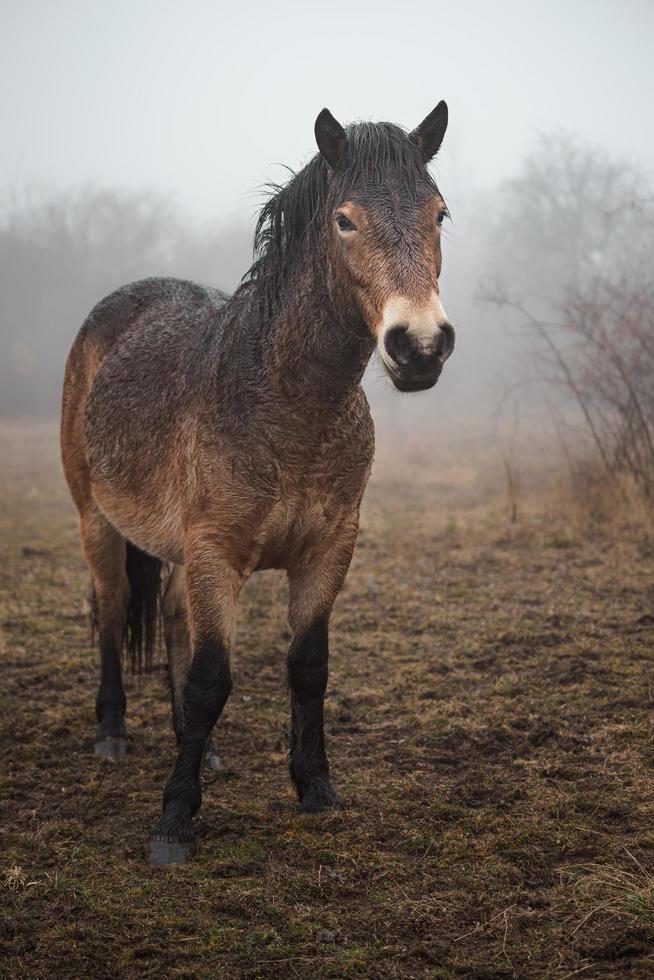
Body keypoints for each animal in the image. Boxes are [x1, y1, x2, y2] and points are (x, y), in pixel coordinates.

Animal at [64, 101, 458, 864]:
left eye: (440, 214)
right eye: (345, 220)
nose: (420, 345)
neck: (284, 403)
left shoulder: (329, 550)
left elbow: (306, 667)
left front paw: (316, 790)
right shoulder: (217, 552)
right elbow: (213, 677)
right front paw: (173, 822)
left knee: (172, 620)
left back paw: (202, 748)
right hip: (97, 518)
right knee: (113, 607)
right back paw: (113, 734)